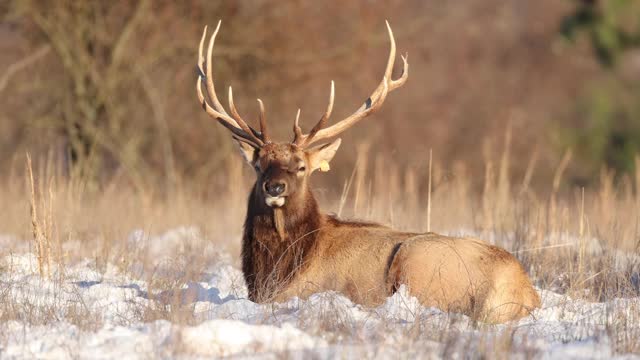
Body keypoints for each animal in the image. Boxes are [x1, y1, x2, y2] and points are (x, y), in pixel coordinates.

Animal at [195, 20, 540, 324]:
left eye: (301, 166)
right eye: (258, 165)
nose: (275, 187)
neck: (279, 268)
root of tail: (525, 292)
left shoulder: (302, 291)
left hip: (417, 262)